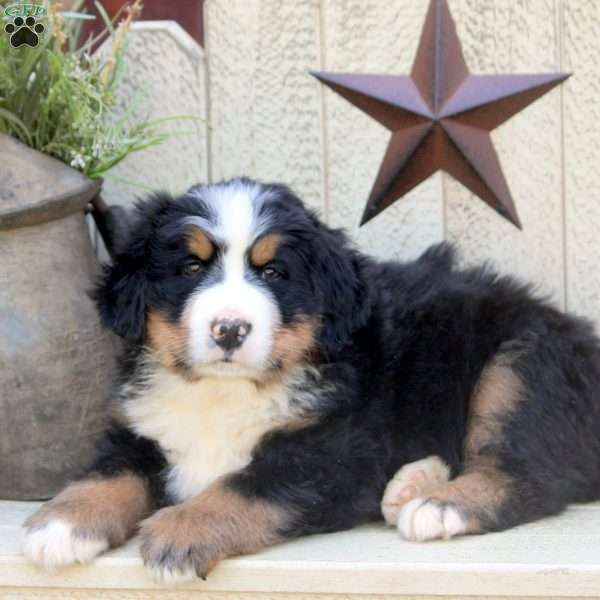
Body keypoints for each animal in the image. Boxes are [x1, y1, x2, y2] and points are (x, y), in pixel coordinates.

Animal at [21, 177, 600, 580]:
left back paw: (439, 506)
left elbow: (243, 486)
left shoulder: (330, 454)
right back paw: (412, 484)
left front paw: (178, 532)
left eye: (273, 273)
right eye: (191, 268)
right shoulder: (144, 428)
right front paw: (60, 523)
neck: (224, 393)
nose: (229, 328)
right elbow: (110, 473)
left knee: (530, 475)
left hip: (520, 361)